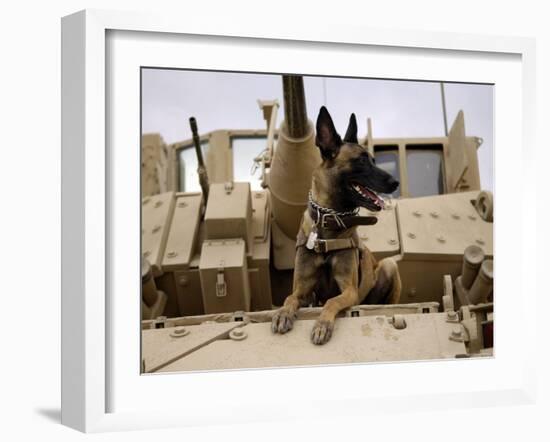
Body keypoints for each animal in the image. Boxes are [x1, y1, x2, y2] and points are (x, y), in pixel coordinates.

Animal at [274, 106, 404, 346]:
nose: (395, 182)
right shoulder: (302, 291)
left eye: (373, 160)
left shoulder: (349, 290)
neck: (329, 222)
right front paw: (283, 314)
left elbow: (331, 301)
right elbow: (289, 298)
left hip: (389, 265)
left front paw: (322, 325)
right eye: (361, 161)